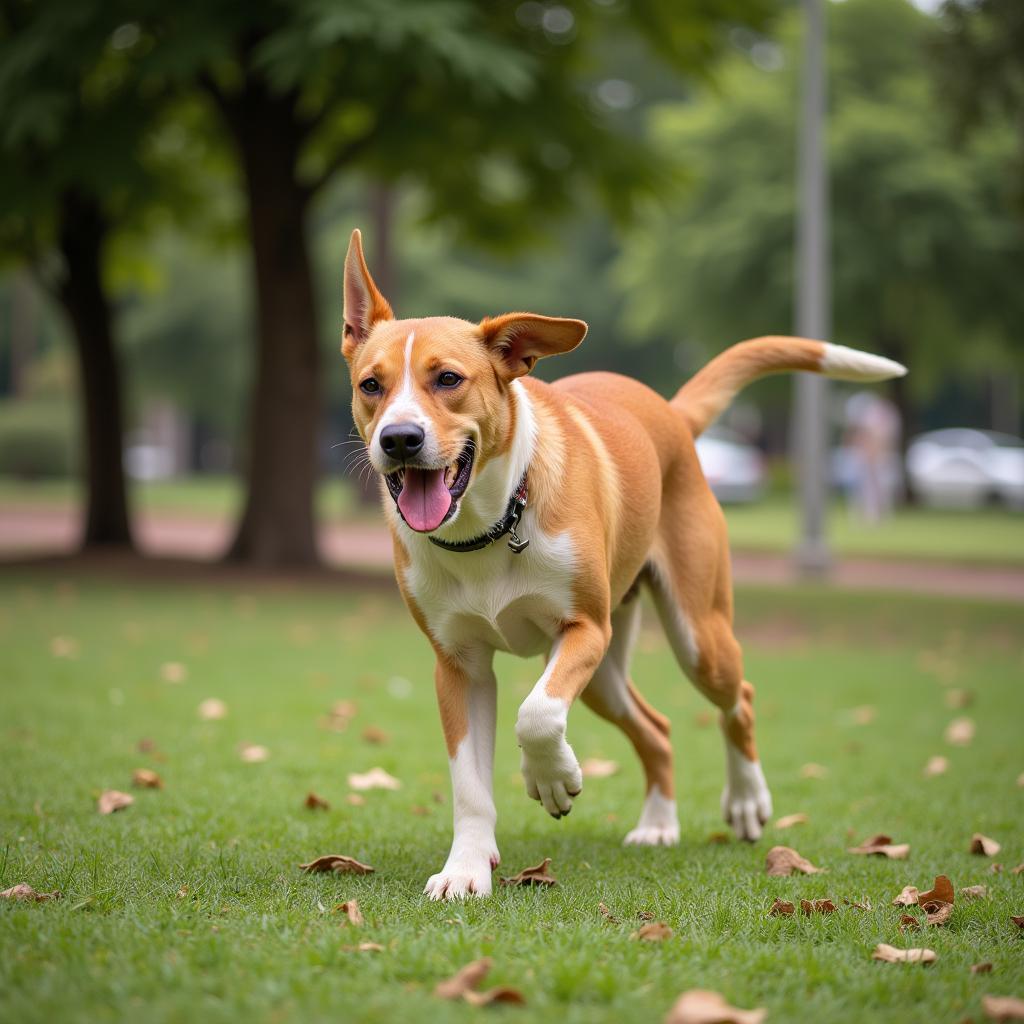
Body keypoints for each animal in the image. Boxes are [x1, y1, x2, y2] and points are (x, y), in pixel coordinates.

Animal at [342, 230, 905, 897]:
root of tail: (671, 412)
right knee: (656, 729)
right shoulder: (458, 665)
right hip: (604, 678)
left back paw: (746, 799)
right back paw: (659, 825)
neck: (490, 529)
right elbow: (469, 784)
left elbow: (536, 715)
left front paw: (550, 778)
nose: (399, 439)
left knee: (737, 695)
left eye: (448, 378)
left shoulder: (585, 627)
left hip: (692, 635)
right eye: (370, 385)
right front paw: (466, 869)